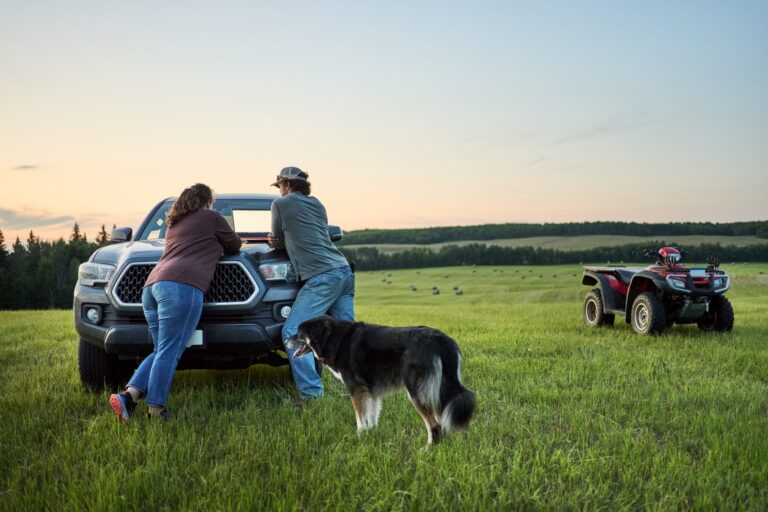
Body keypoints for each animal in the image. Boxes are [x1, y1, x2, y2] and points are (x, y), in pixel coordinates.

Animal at [288, 316, 474, 444]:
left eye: (299, 333)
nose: (286, 340)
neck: (336, 340)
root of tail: (440, 339)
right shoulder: (370, 391)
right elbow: (371, 415)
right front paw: (371, 434)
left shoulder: (356, 389)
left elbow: (360, 418)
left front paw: (360, 437)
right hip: (438, 389)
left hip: (417, 391)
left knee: (434, 424)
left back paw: (428, 449)